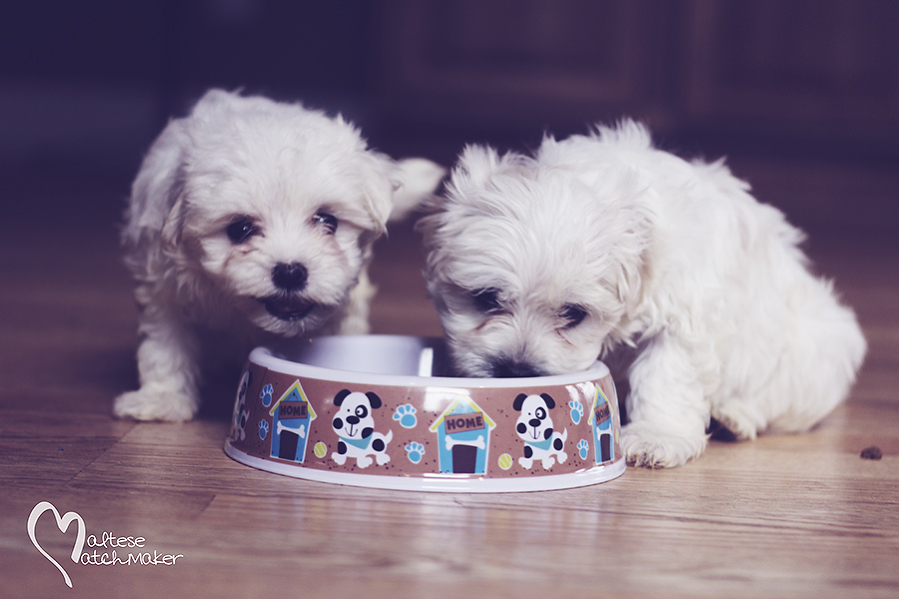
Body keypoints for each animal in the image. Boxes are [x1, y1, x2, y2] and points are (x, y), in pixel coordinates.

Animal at [116, 91, 446, 424]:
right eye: (240, 229)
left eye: (328, 220)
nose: (290, 272)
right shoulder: (161, 280)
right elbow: (166, 342)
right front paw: (161, 399)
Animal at [418, 120, 868, 468]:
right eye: (485, 298)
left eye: (573, 314)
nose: (515, 370)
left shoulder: (687, 316)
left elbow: (666, 374)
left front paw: (657, 436)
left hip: (817, 355)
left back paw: (734, 417)